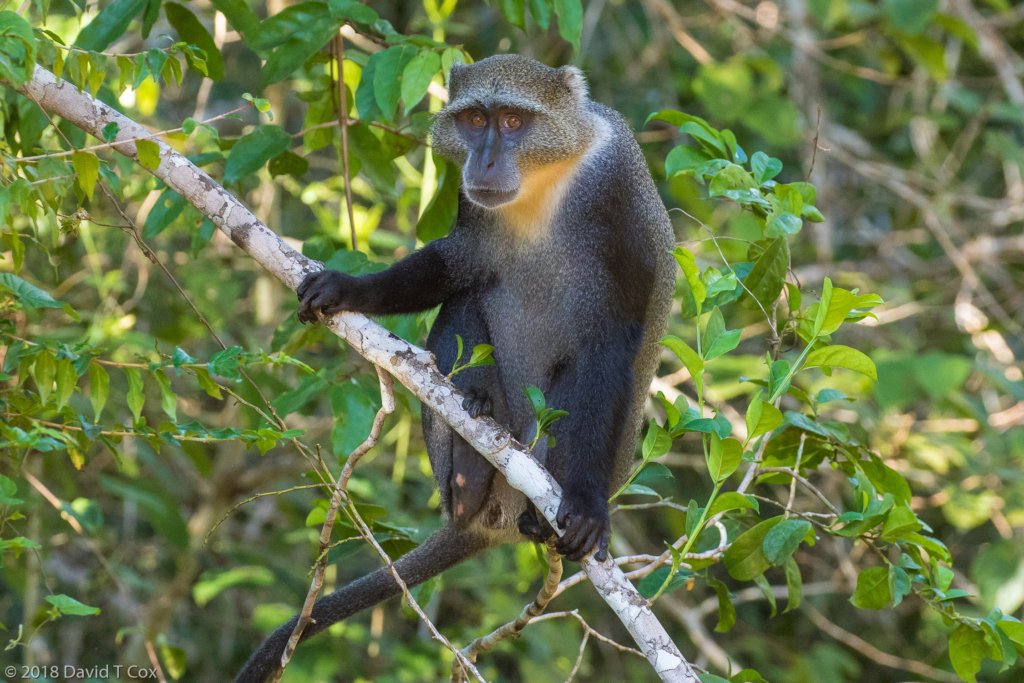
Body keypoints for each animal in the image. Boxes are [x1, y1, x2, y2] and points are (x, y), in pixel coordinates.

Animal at [235, 54, 675, 683]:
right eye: (473, 120)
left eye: (513, 120)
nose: (484, 159)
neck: (550, 175)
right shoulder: (474, 213)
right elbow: (459, 263)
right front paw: (349, 289)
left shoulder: (618, 193)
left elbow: (609, 347)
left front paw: (590, 505)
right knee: (464, 301)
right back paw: (469, 461)